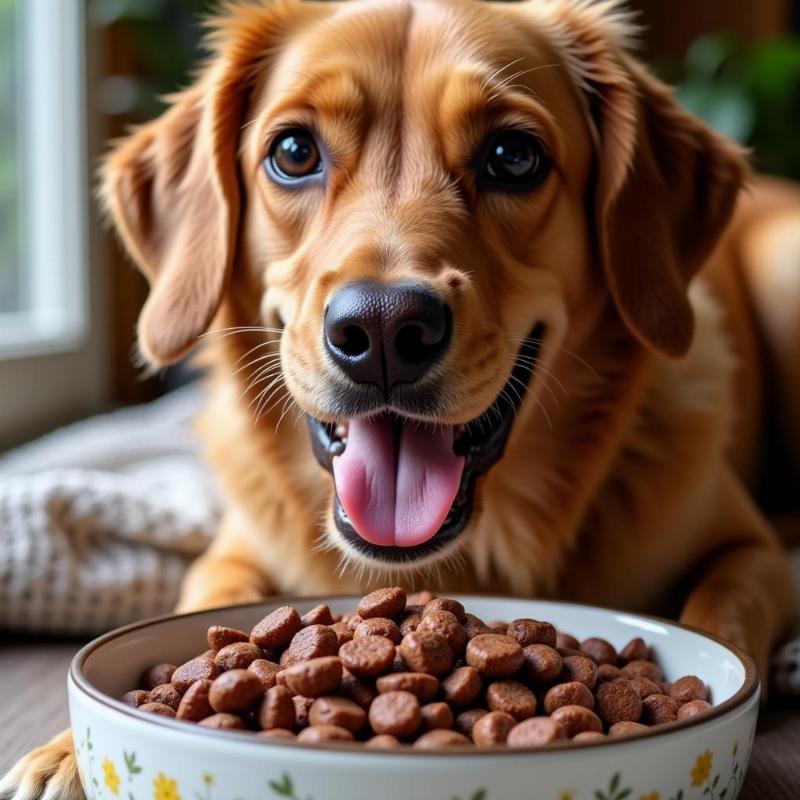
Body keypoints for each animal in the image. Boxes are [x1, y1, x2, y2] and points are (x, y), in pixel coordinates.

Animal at [3, 0, 796, 796]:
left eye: (514, 156)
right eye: (294, 152)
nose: (383, 330)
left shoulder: (748, 550)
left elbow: (722, 611)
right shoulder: (230, 554)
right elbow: (206, 598)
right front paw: (68, 752)